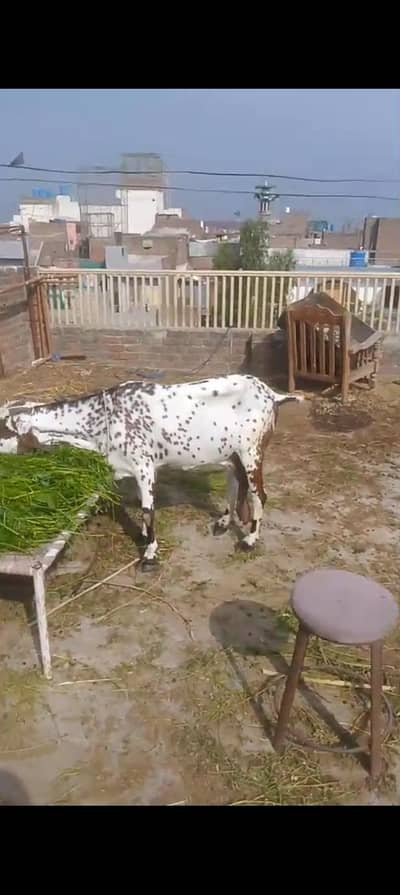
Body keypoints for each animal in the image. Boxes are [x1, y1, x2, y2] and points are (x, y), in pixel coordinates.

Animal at [0, 375, 302, 566]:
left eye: (2, 428)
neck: (103, 419)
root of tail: (273, 395)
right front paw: (145, 538)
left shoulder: (144, 465)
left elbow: (147, 509)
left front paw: (149, 553)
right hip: (232, 454)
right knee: (235, 485)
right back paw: (224, 522)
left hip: (252, 451)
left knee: (259, 495)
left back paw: (249, 539)